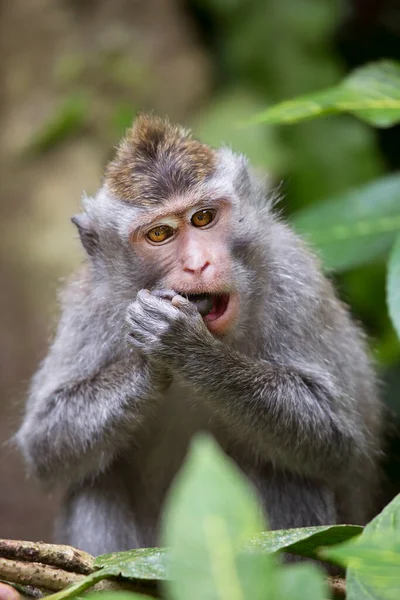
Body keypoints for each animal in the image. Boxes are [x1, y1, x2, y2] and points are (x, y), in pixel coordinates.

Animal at [16, 115, 382, 556]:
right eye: (159, 234)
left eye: (203, 218)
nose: (198, 264)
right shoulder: (89, 307)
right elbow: (45, 441)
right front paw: (148, 365)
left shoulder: (294, 281)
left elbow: (336, 439)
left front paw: (184, 347)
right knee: (95, 481)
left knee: (289, 472)